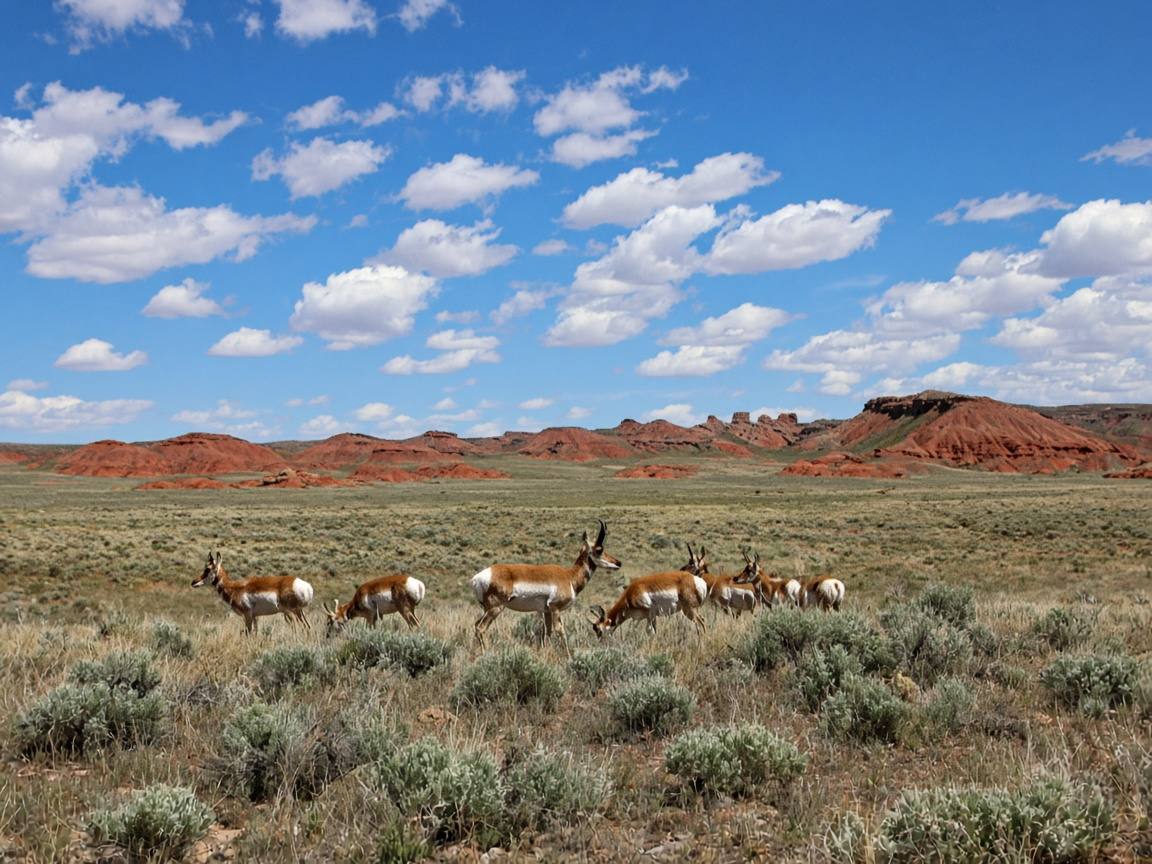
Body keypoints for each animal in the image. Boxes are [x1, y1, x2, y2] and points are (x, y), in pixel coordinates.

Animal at [470, 520, 620, 646]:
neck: (568, 576)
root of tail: (477, 578)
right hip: (496, 608)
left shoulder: (546, 611)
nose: (618, 563)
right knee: (481, 628)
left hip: (486, 609)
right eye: (599, 550)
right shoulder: (555, 608)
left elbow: (547, 633)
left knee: (476, 625)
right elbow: (561, 632)